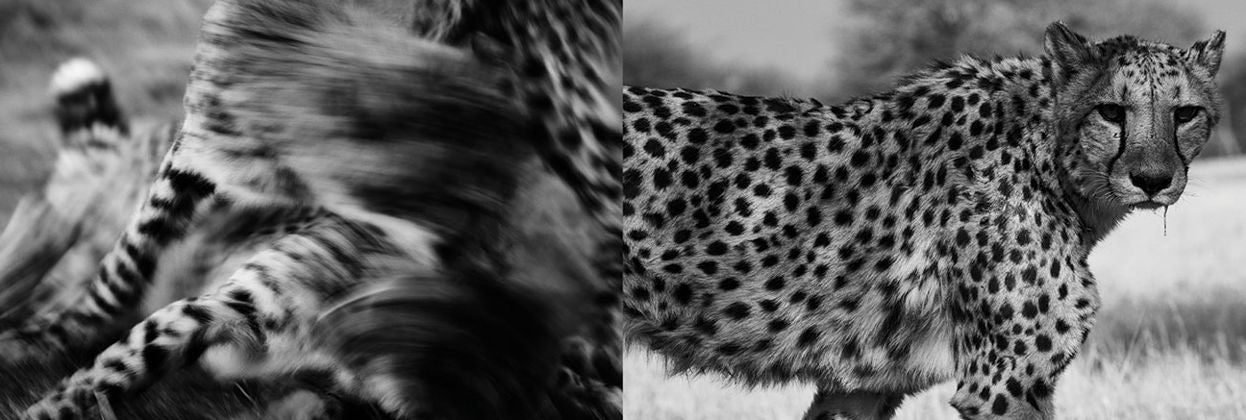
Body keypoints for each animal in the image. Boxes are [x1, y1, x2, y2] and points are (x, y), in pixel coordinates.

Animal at [622, 22, 1225, 419]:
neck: (1048, 153)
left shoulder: (860, 383)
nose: (1153, 179)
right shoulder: (1004, 382)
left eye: (1186, 113)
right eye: (1110, 111)